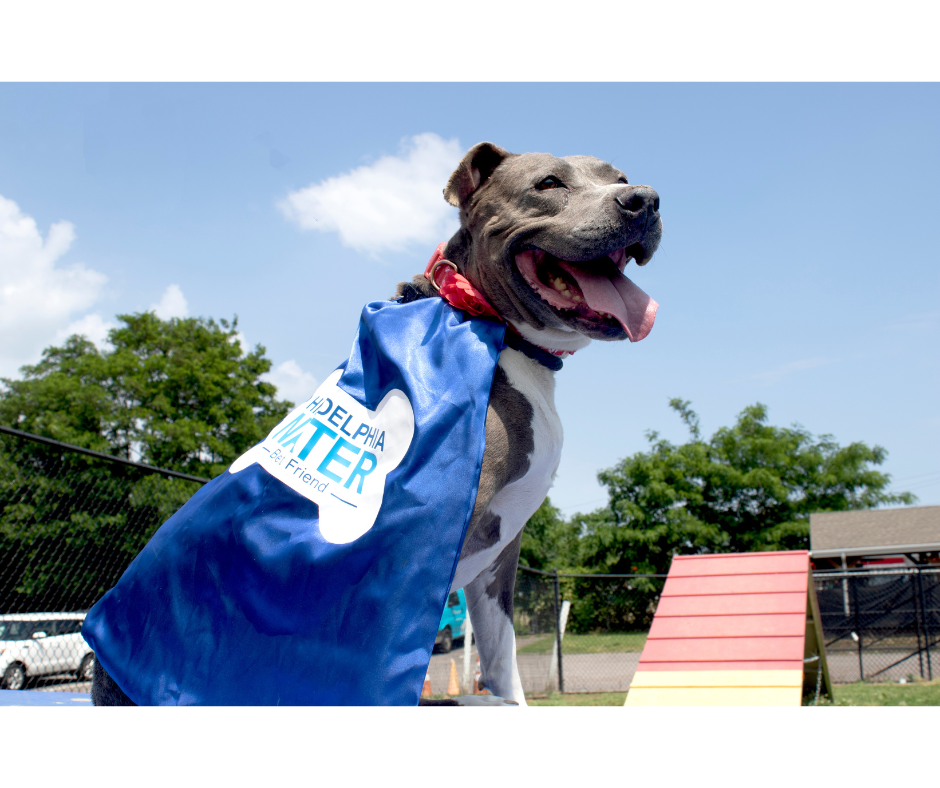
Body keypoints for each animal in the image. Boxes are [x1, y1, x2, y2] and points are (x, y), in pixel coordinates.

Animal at [90, 142, 661, 706]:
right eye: (548, 184)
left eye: (619, 177)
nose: (645, 199)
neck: (491, 324)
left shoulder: (500, 559)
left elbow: (502, 657)